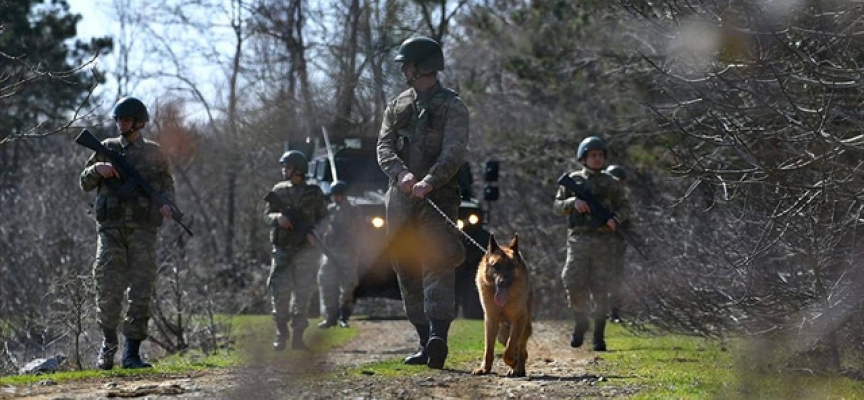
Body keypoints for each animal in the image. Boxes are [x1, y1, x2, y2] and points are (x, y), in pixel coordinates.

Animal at [472, 233, 532, 376]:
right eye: (496, 266)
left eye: (511, 267)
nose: (503, 282)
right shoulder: (491, 320)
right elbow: (488, 348)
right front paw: (485, 369)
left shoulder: (518, 320)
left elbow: (510, 348)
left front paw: (512, 363)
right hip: (502, 334)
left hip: (523, 328)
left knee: (521, 349)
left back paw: (518, 368)